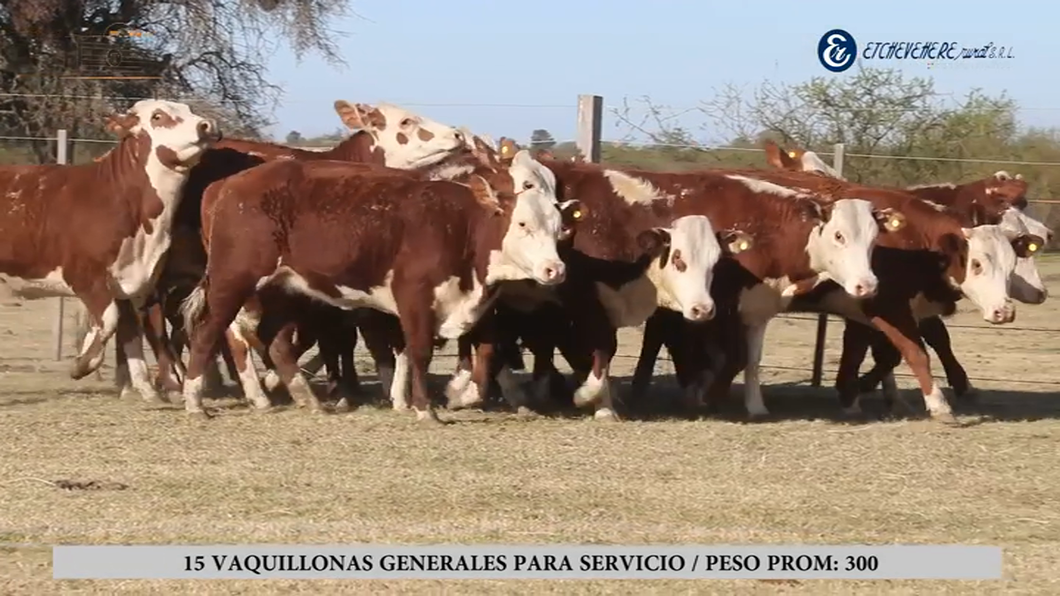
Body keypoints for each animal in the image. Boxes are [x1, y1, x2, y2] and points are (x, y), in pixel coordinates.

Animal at [0, 98, 218, 379]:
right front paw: (82, 364)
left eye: (189, 110)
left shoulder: (141, 284)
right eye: (158, 116)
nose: (207, 125)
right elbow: (110, 319)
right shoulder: (85, 277)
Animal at [180, 146, 580, 419]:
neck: (460, 222)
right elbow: (419, 351)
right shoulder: (414, 298)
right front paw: (425, 408)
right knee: (210, 330)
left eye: (558, 225)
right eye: (523, 223)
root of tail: (226, 185)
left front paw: (458, 395)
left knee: (275, 340)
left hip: (282, 290)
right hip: (234, 280)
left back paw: (307, 398)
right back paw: (196, 400)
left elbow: (485, 350)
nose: (555, 270)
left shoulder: (471, 301)